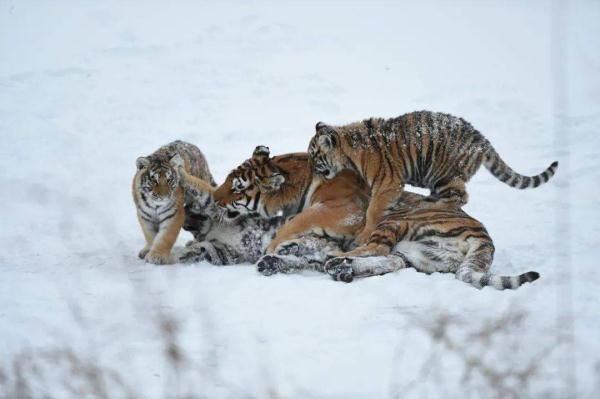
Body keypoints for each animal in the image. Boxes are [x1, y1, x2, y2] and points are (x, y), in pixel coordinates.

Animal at [211, 145, 370, 274]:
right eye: (227, 179)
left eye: (238, 188)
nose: (213, 198)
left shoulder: (348, 206)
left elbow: (300, 220)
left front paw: (272, 247)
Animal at [308, 111, 560, 245]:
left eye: (314, 156)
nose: (312, 170)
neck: (348, 149)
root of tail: (482, 140)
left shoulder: (388, 183)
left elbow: (373, 211)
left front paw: (363, 235)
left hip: (445, 175)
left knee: (460, 197)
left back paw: (431, 204)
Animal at [324, 191, 540, 290]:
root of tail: (485, 238)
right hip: (417, 255)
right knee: (389, 261)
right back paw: (340, 265)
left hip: (398, 220)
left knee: (377, 248)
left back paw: (335, 259)